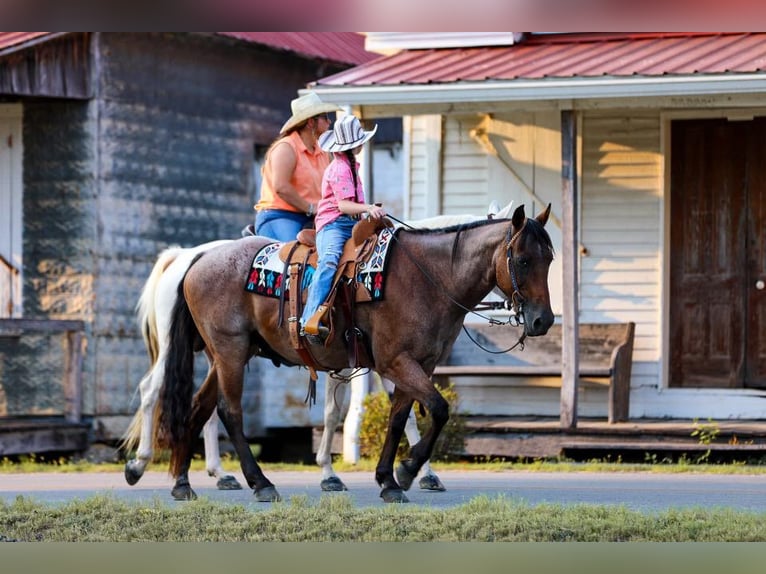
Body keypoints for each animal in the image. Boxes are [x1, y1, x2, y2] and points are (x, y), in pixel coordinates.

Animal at [158, 204, 552, 504]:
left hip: (225, 355)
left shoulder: (419, 364)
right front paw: (408, 470)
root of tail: (199, 258)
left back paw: (183, 483)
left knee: (199, 408)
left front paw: (390, 479)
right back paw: (260, 483)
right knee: (229, 411)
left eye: (549, 258)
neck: (429, 276)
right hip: (231, 351)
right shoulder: (396, 362)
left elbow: (399, 418)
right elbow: (438, 409)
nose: (543, 320)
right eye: (522, 259)